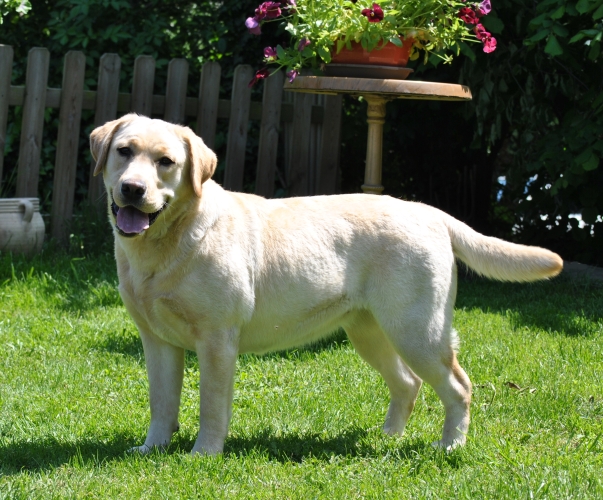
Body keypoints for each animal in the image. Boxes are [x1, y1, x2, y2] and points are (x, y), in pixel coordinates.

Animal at [90, 113, 563, 455]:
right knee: (408, 383)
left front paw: (203, 455)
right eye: (124, 151)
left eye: (166, 162)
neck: (164, 243)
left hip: (417, 331)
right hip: (369, 331)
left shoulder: (216, 341)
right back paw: (388, 439)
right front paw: (152, 449)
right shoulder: (157, 341)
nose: (133, 189)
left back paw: (450, 446)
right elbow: (161, 402)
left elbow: (211, 407)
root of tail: (430, 212)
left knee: (459, 387)